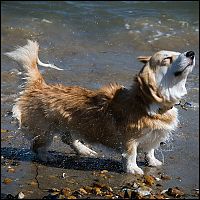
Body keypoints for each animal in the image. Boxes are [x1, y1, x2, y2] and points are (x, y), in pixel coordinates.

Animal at [5, 39, 195, 174]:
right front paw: (133, 169)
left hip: (70, 124)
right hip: (45, 131)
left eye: (178, 53)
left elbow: (150, 151)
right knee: (37, 147)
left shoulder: (154, 137)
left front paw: (153, 162)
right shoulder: (129, 139)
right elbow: (131, 154)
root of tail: (39, 86)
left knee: (68, 138)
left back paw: (85, 150)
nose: (192, 53)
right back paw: (47, 157)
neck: (151, 104)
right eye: (167, 59)